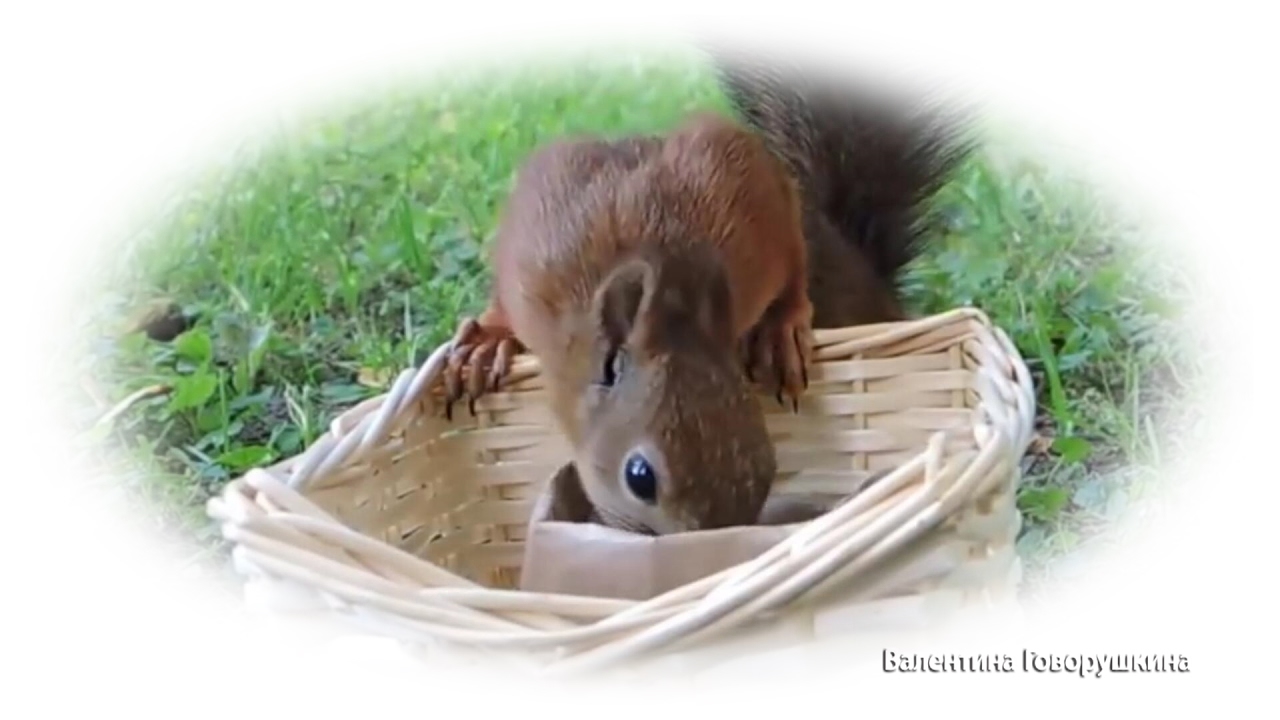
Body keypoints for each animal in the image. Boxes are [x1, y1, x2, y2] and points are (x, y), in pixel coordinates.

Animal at [440, 54, 973, 536]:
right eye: (639, 477)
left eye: (768, 465)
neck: (672, 284)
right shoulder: (536, 249)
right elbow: (506, 302)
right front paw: (488, 338)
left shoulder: (744, 188)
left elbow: (789, 247)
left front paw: (781, 324)